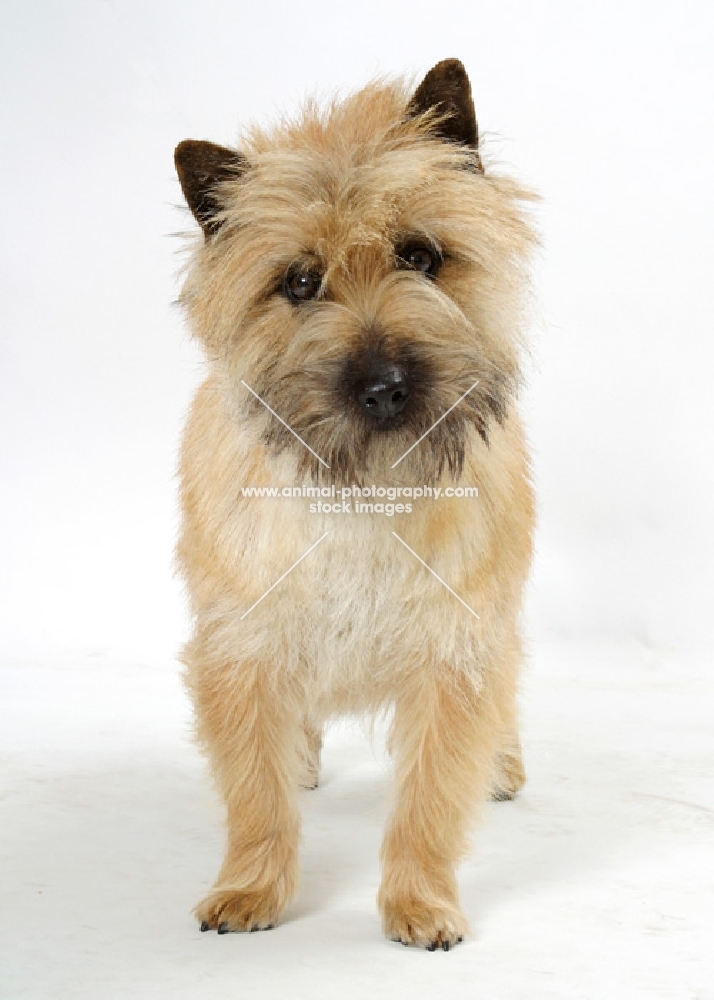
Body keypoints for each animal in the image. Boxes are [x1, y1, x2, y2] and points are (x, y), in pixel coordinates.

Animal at [174, 58, 536, 948]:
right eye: (300, 282)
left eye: (421, 255)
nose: (384, 387)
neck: (362, 486)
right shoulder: (241, 648)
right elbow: (254, 791)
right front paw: (250, 887)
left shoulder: (457, 653)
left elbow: (432, 796)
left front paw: (421, 901)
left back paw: (504, 765)